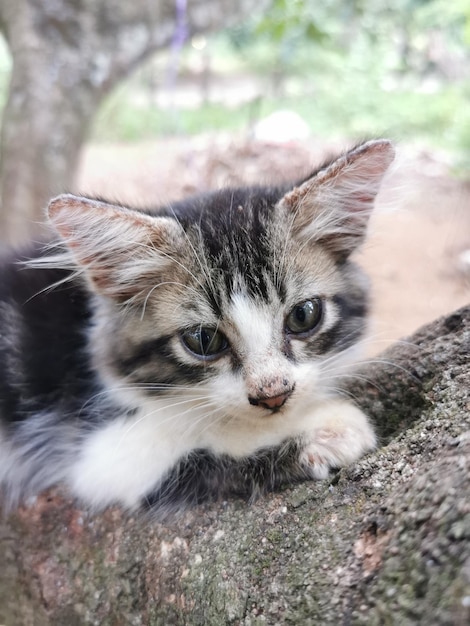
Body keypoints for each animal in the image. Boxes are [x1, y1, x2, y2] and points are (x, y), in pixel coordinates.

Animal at [0, 139, 394, 510]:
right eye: (204, 340)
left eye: (303, 316)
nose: (273, 395)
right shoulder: (104, 456)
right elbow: (207, 439)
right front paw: (326, 430)